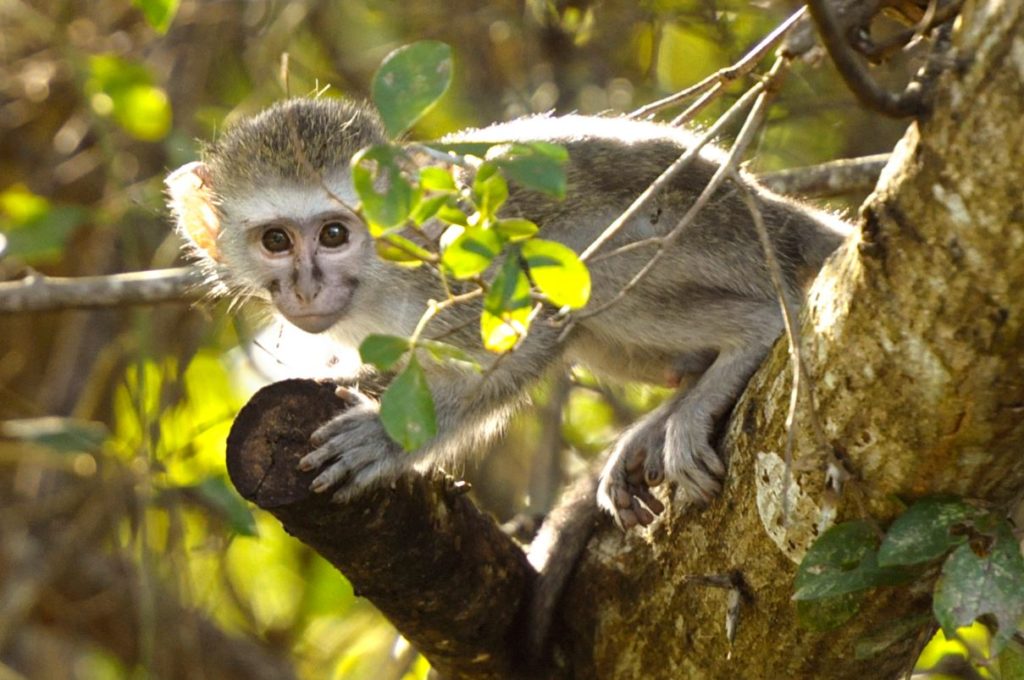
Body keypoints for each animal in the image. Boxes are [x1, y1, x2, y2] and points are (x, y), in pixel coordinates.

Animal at [167, 96, 851, 532]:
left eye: (334, 234)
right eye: (276, 241)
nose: (305, 289)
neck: (380, 280)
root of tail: (775, 213)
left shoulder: (452, 276)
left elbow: (534, 335)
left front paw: (387, 438)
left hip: (719, 245)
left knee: (584, 271)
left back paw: (750, 334)